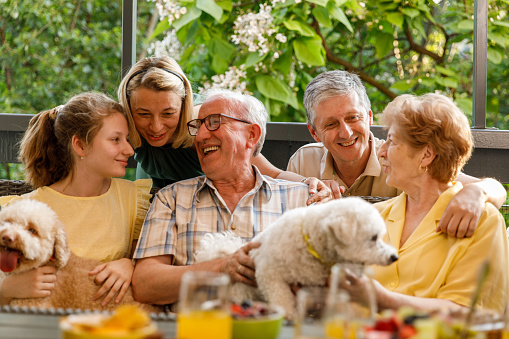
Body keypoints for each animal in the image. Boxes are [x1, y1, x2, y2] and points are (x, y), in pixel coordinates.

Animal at [194, 198, 396, 320]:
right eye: (373, 237)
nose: (394, 257)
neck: (311, 243)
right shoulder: (270, 276)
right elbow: (282, 300)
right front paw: (289, 315)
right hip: (243, 294)